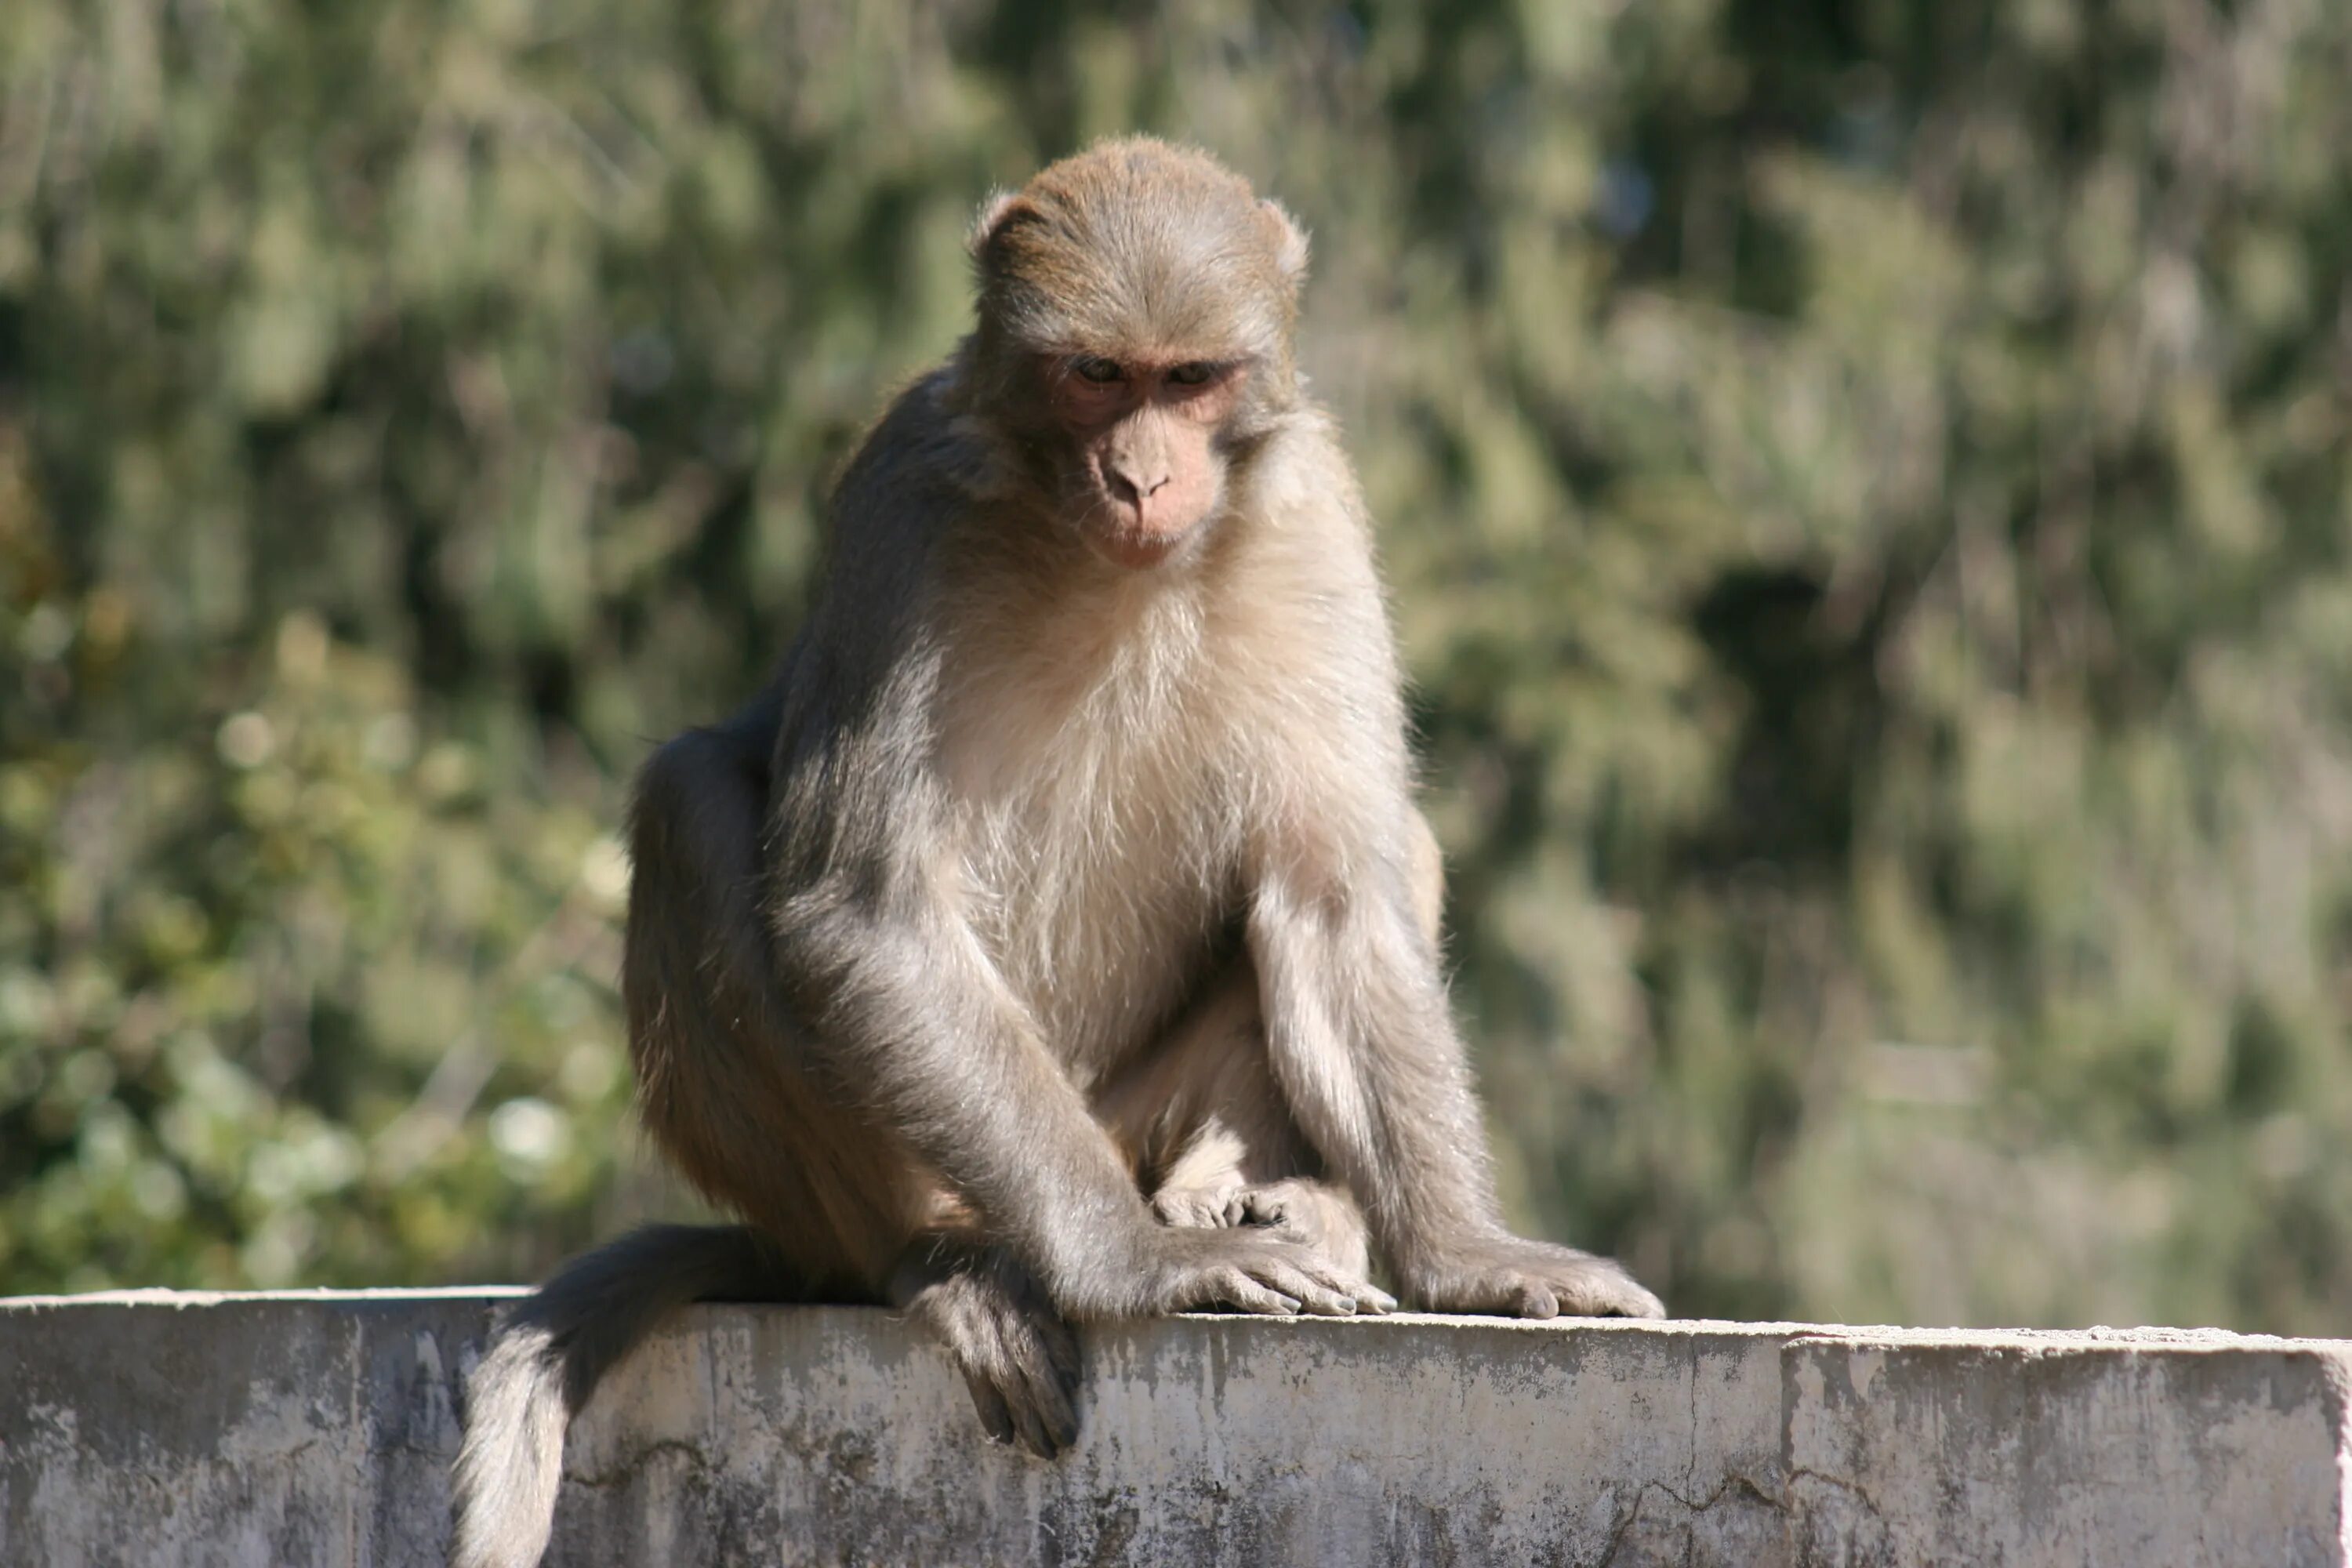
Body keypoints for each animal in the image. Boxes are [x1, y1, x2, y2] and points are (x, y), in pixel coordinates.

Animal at [449, 135, 1665, 1568]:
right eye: (1096, 377)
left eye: (1189, 380)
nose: (1141, 477)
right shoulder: (906, 500)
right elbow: (866, 911)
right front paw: (1133, 1269)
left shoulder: (1314, 505)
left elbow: (1334, 894)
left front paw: (1470, 1252)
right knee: (692, 803)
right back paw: (949, 1270)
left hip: (1130, 1111)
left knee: (1386, 851)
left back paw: (1251, 1191)